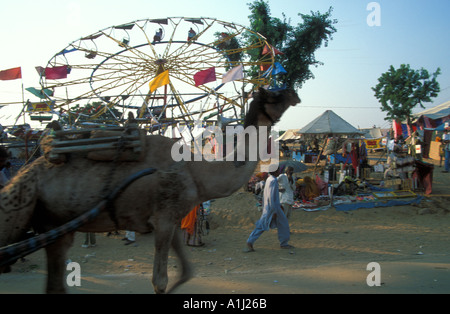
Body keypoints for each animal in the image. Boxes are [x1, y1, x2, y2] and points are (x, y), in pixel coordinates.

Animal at [0, 87, 302, 294]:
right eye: (274, 93)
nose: (294, 93)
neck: (197, 173)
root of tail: (26, 170)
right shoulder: (164, 217)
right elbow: (160, 281)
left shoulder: (172, 219)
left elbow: (185, 273)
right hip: (20, 209)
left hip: (55, 226)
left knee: (55, 280)